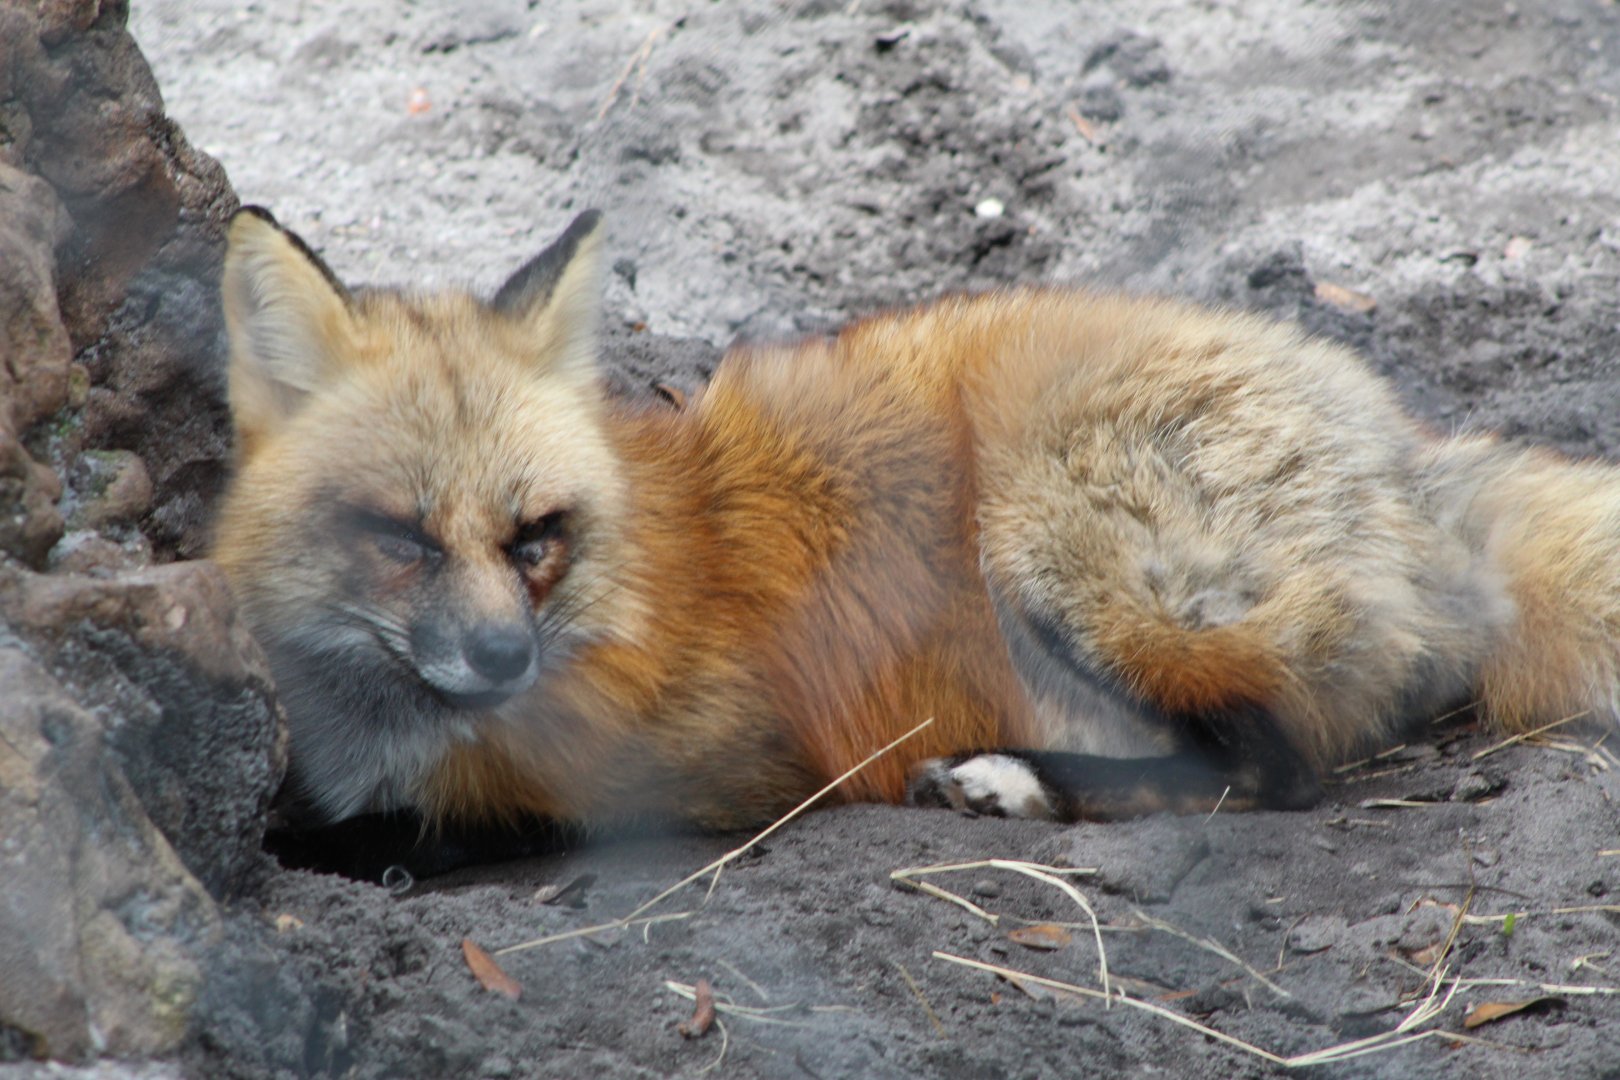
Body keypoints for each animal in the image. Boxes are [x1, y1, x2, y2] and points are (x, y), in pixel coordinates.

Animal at [213, 206, 1620, 847]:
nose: (502, 658)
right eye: (402, 536)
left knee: (1273, 767)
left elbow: (429, 823)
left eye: (533, 534)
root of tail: (1402, 444)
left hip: (1055, 539)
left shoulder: (726, 766)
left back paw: (1019, 780)